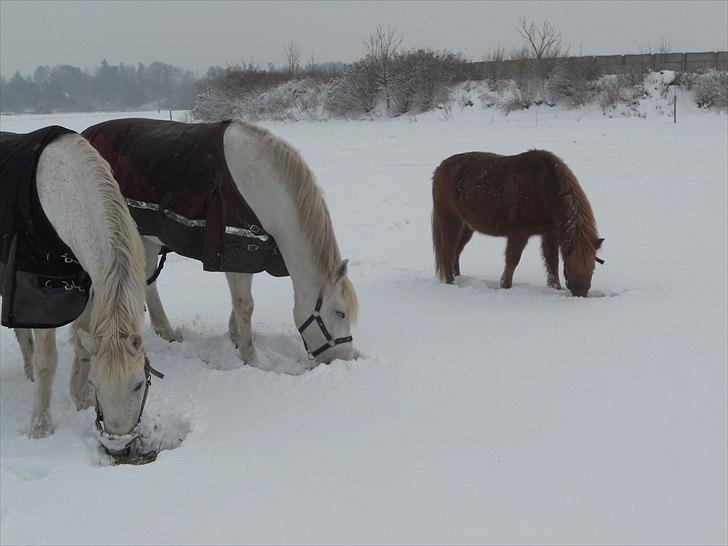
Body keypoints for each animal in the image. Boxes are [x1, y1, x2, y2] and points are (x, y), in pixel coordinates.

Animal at [10, 133, 151, 446]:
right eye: (98, 384)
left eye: (138, 385)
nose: (117, 443)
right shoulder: (46, 294)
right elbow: (46, 362)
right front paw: (40, 428)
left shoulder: (89, 288)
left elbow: (85, 346)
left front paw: (81, 399)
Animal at [141, 121, 356, 364]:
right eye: (340, 313)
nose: (346, 359)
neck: (258, 188)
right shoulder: (233, 251)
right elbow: (246, 305)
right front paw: (250, 358)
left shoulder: (248, 254)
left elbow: (239, 302)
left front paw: (235, 338)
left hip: (149, 238)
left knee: (149, 280)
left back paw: (165, 332)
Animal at [432, 149, 604, 296]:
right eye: (569, 266)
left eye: (593, 268)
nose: (580, 295)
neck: (546, 188)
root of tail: (440, 169)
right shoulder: (519, 233)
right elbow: (513, 260)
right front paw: (505, 286)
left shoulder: (550, 234)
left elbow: (552, 262)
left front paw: (556, 288)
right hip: (451, 221)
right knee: (448, 252)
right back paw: (451, 283)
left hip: (467, 227)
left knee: (456, 252)